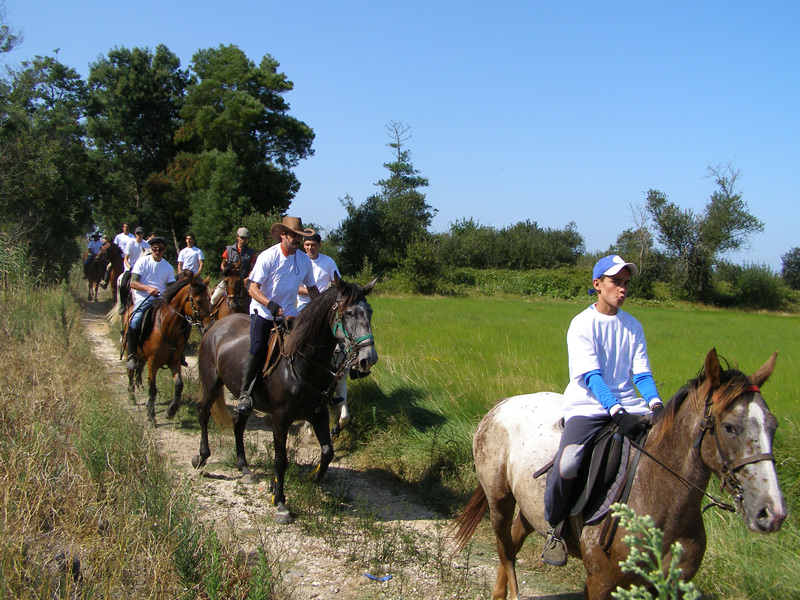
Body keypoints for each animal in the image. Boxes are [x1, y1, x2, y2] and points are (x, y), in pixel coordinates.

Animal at [123, 273, 212, 424]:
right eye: (198, 301)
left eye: (210, 300)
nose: (208, 327)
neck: (167, 327)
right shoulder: (153, 363)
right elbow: (152, 388)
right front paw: (151, 416)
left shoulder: (174, 361)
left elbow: (179, 385)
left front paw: (170, 411)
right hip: (130, 352)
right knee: (130, 371)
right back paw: (131, 395)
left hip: (142, 357)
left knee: (138, 370)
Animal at [194, 275, 378, 523]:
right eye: (349, 313)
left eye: (369, 312)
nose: (369, 359)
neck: (302, 361)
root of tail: (216, 326)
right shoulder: (280, 418)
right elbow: (281, 459)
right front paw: (280, 501)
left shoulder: (318, 414)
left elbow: (328, 452)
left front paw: (313, 477)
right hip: (211, 384)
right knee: (203, 413)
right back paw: (202, 457)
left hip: (245, 401)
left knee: (238, 423)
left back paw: (244, 468)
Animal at [453, 348, 786, 600]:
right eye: (729, 427)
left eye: (773, 425)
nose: (771, 513)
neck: (660, 501)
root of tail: (503, 405)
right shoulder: (602, 583)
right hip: (499, 501)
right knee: (505, 549)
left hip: (531, 506)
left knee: (515, 539)